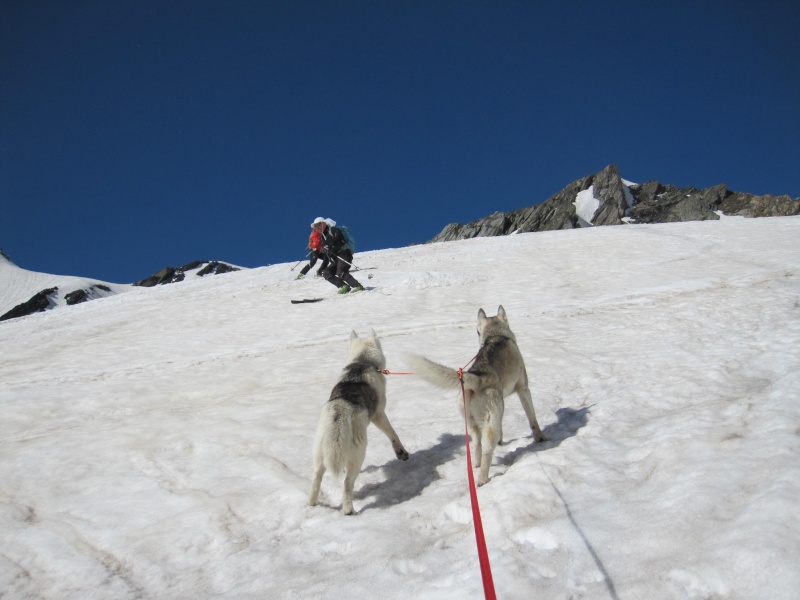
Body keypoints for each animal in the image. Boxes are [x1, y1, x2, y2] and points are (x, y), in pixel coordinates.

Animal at [310, 330, 410, 512]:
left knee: (316, 478)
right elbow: (393, 434)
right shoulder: (379, 415)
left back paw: (312, 503)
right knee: (347, 484)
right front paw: (401, 452)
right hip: (359, 453)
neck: (362, 363)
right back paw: (349, 510)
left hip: (320, 453)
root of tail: (341, 408)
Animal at [410, 308, 548, 486]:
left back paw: (475, 465)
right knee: (487, 452)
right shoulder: (523, 389)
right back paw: (483, 479)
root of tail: (477, 377)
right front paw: (541, 438)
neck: (496, 335)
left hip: (473, 423)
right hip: (491, 423)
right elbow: (533, 420)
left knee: (477, 446)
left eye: (476, 331)